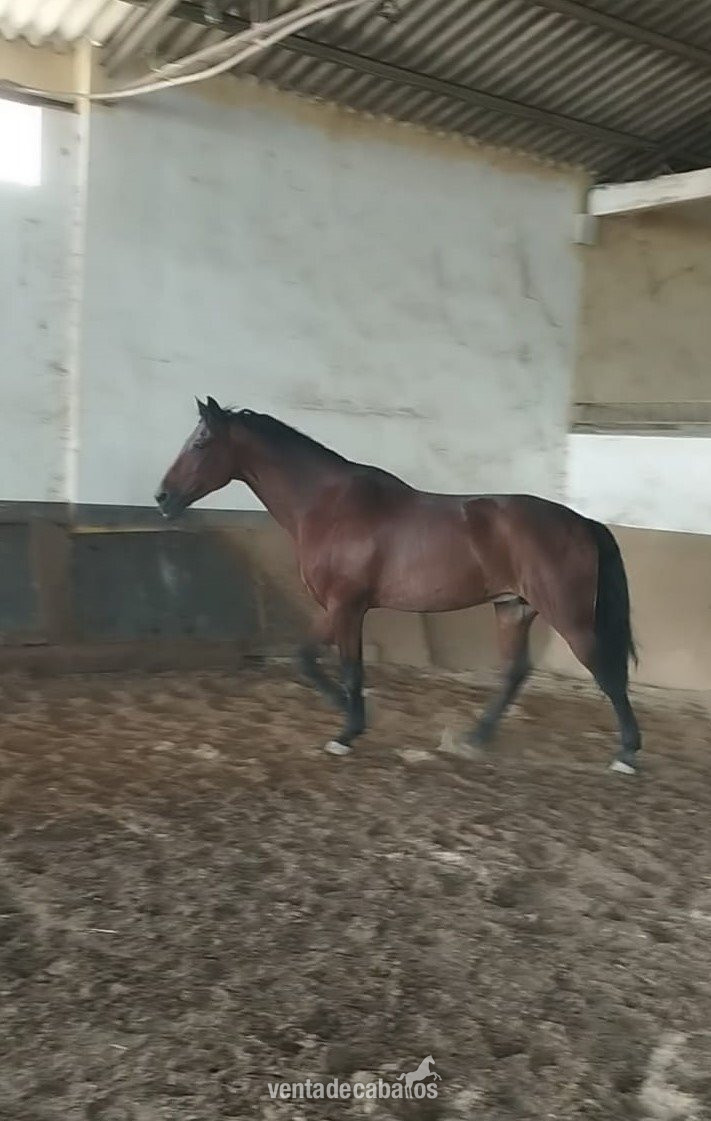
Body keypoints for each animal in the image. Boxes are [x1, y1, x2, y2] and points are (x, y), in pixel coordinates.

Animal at [155, 396, 641, 774]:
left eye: (201, 443)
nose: (162, 497)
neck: (328, 505)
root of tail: (582, 522)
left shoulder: (346, 606)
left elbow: (344, 667)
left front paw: (347, 732)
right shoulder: (336, 607)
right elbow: (309, 660)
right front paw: (353, 718)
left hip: (568, 616)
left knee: (607, 672)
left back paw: (627, 755)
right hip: (513, 608)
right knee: (515, 673)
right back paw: (474, 738)